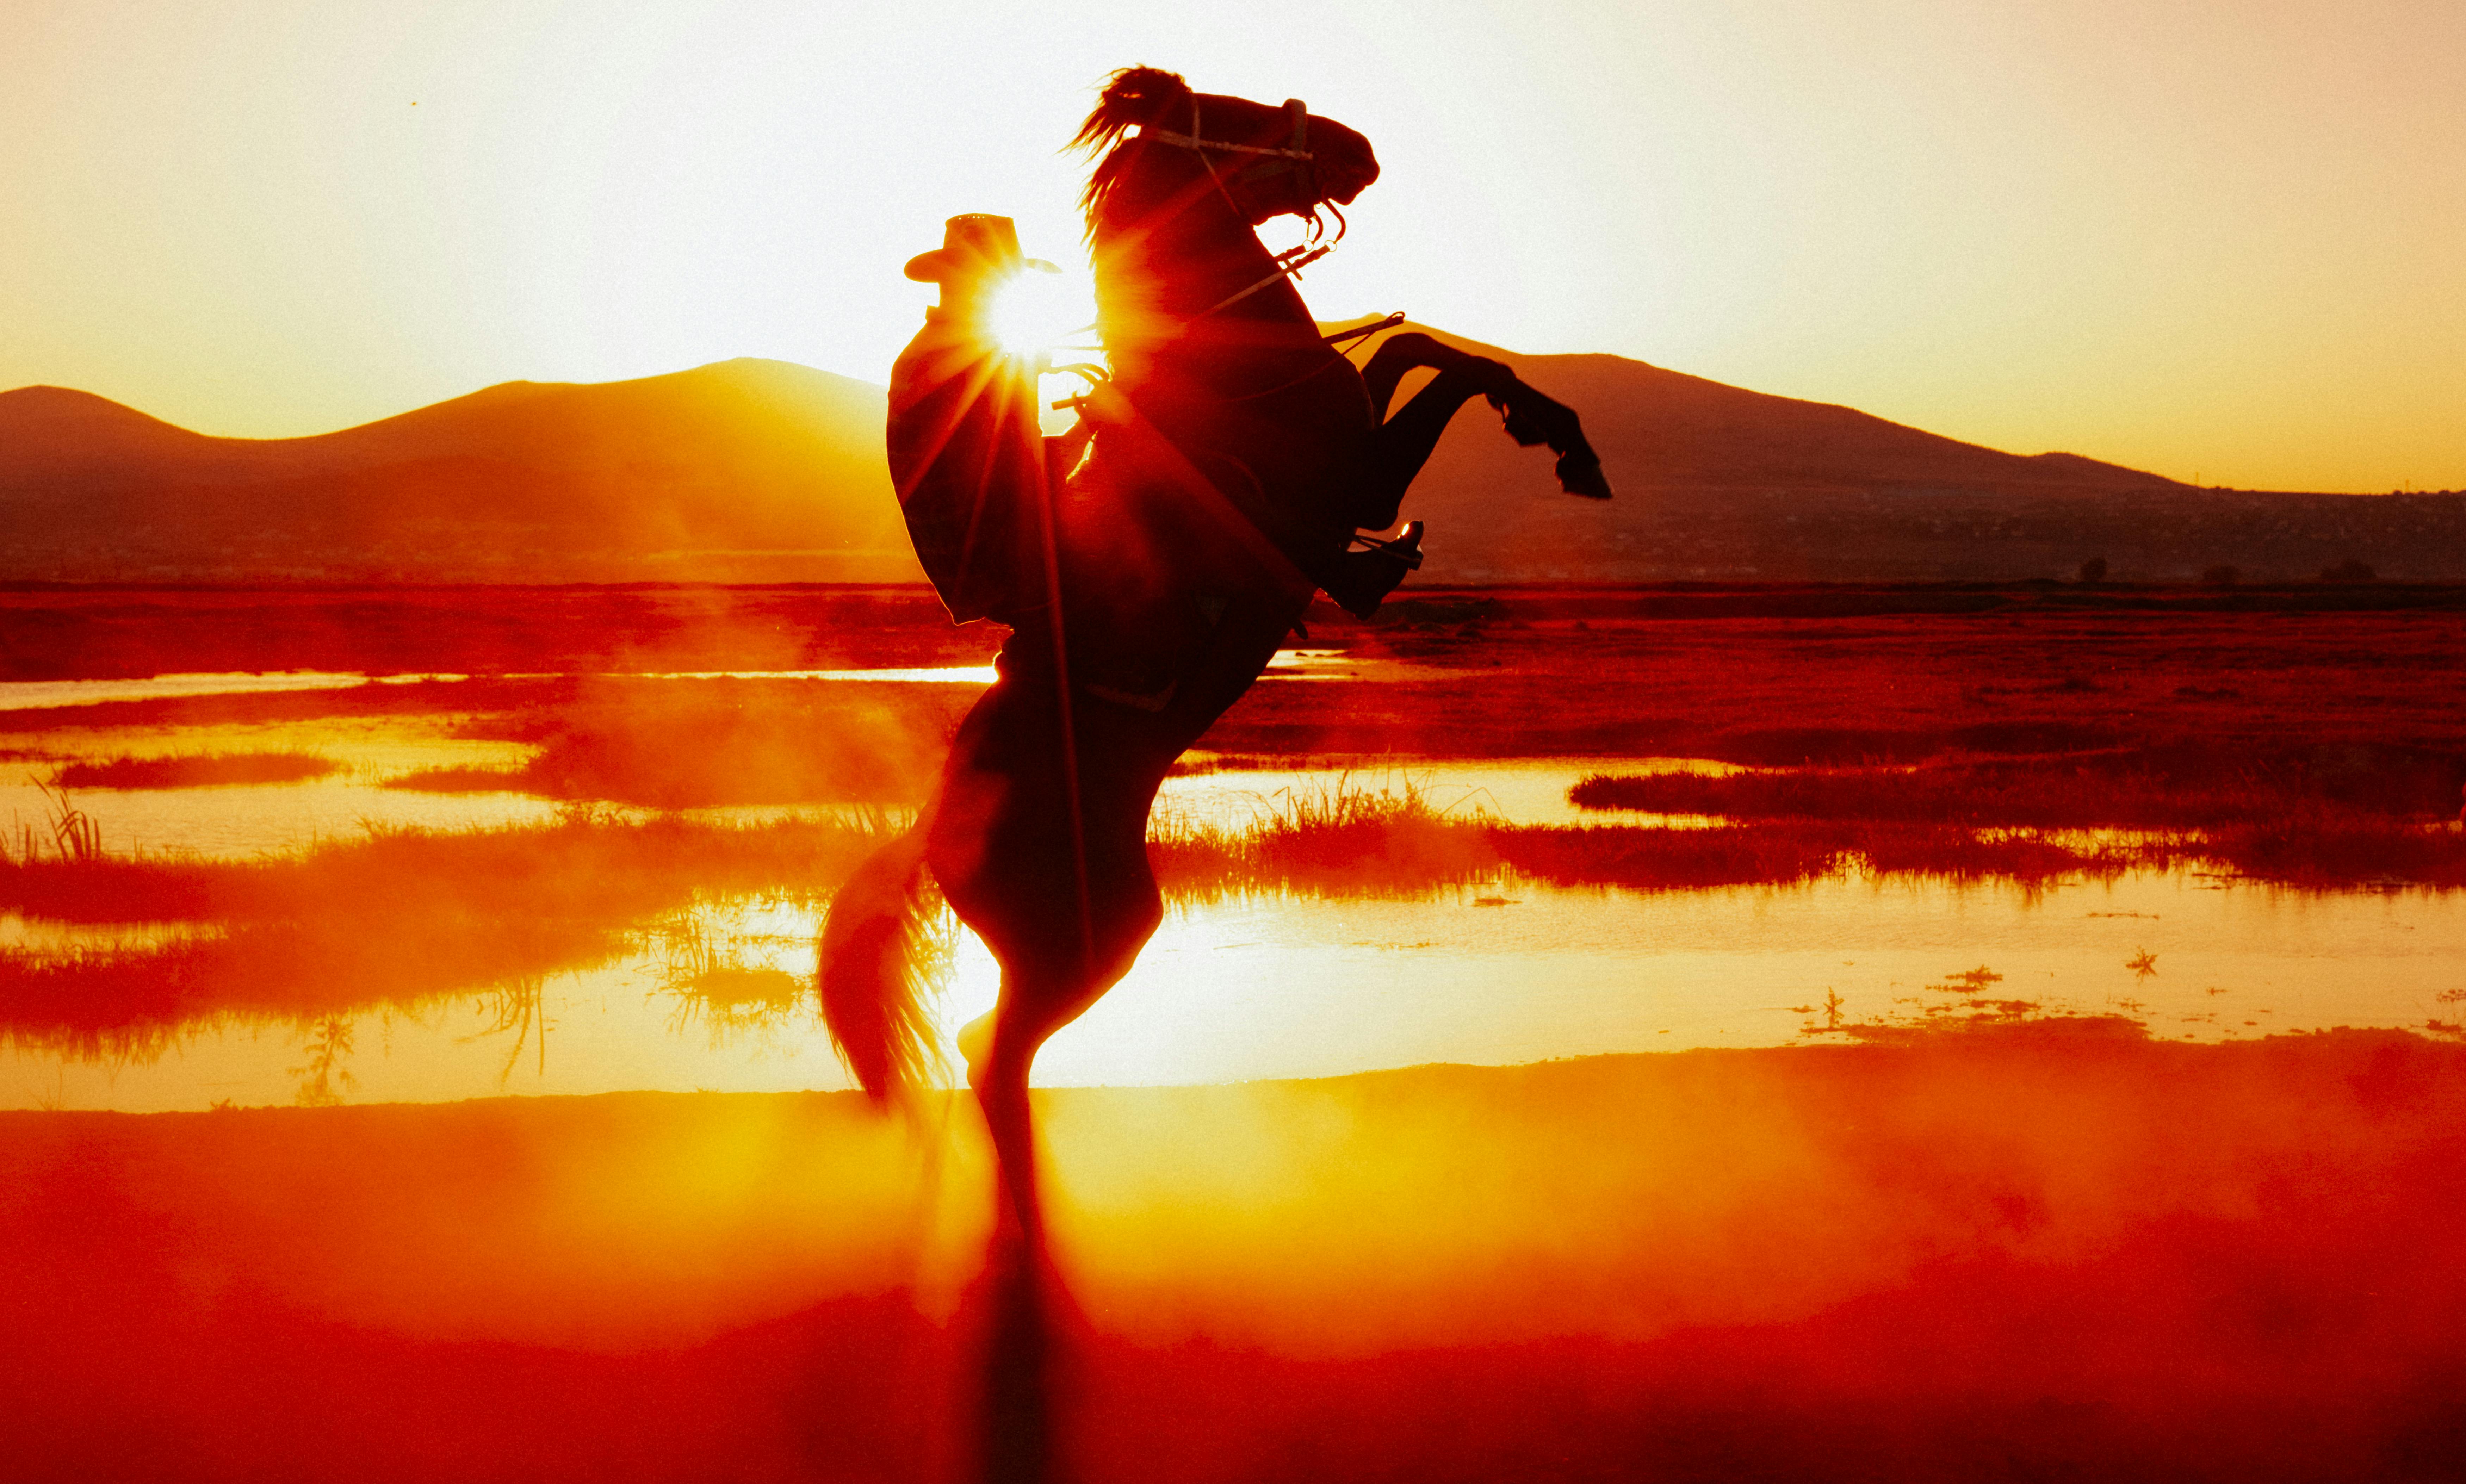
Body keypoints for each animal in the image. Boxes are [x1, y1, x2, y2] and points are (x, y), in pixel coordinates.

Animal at [819, 63, 1608, 1232]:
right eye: (1235, 115)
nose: (1359, 150)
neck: (1224, 370)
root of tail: (931, 830)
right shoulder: (1355, 477)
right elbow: (1442, 362)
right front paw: (1555, 438)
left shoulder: (1352, 474)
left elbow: (1419, 348)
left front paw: (1548, 434)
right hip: (1090, 939)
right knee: (994, 1056)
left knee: (985, 1047)